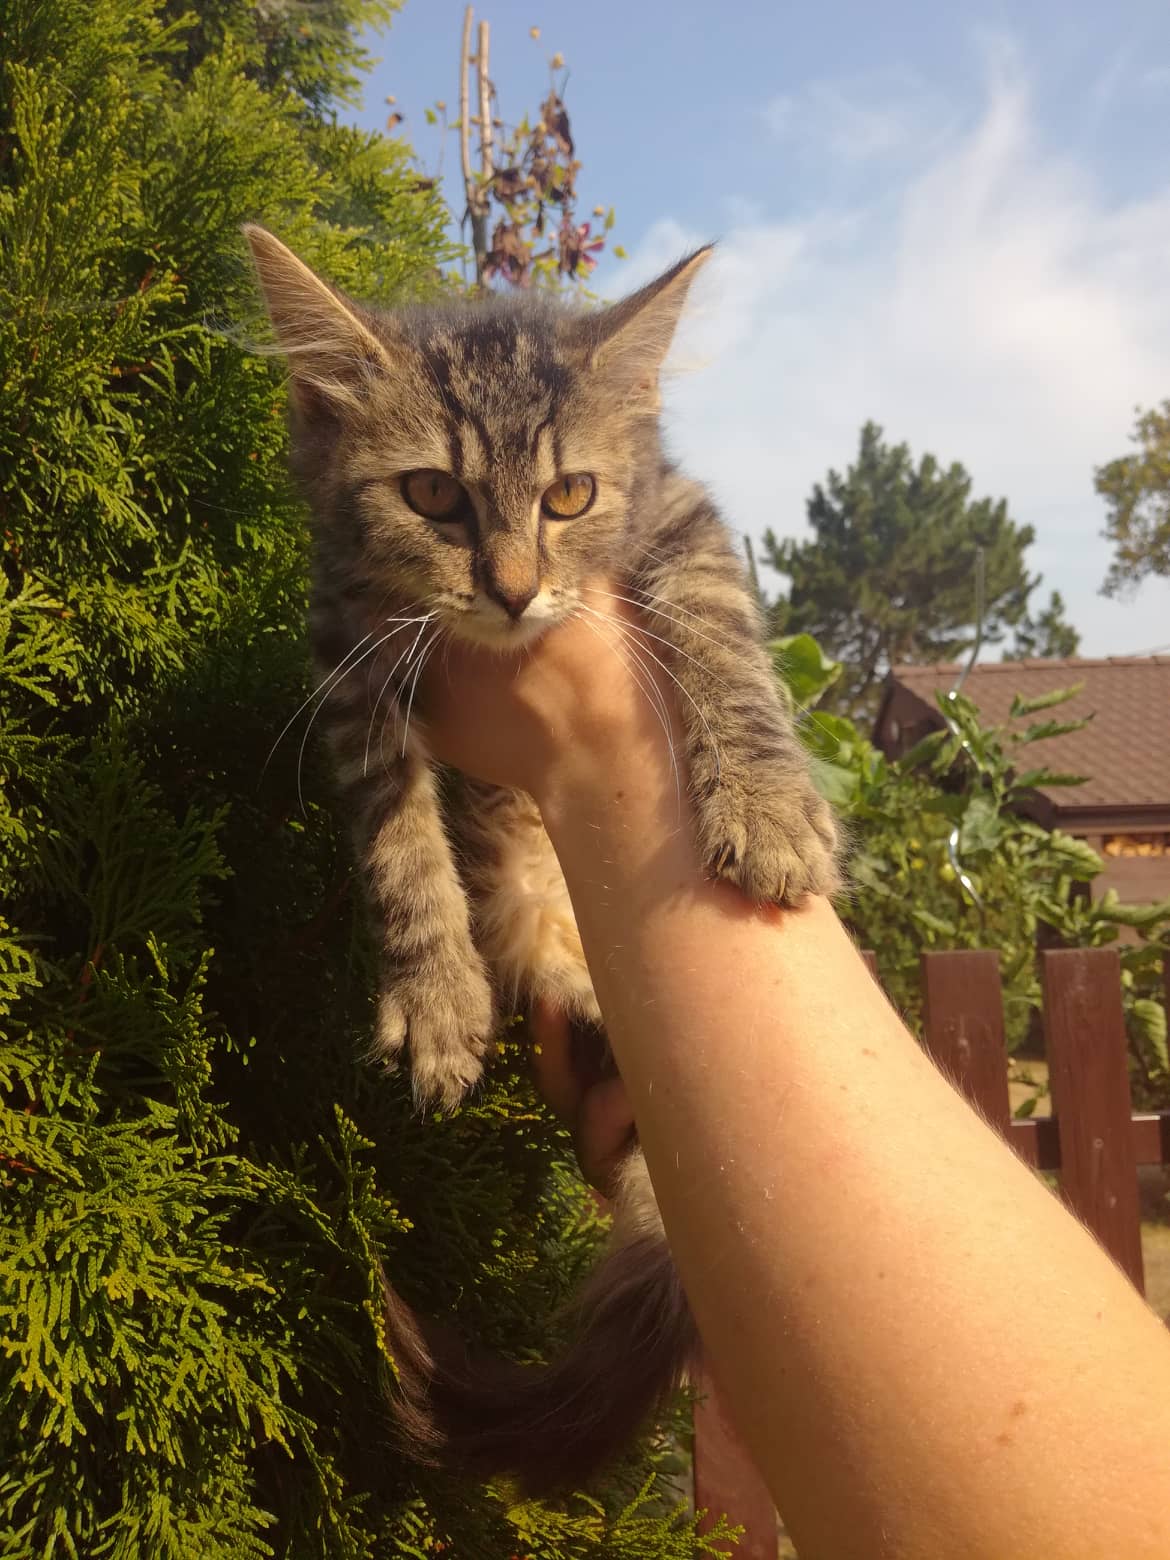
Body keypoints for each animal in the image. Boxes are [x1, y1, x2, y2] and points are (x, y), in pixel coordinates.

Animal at [245, 224, 840, 1493]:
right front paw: (436, 995)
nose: (514, 592)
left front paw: (768, 805)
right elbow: (397, 842)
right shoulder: (347, 658)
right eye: (432, 494)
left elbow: (723, 644)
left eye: (570, 496)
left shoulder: (686, 523)